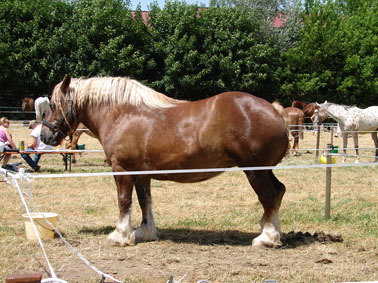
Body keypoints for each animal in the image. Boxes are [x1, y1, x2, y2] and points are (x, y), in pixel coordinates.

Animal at [40, 75, 290, 248]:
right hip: (265, 171)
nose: (45, 136)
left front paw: (120, 235)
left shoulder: (122, 170)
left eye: (52, 105)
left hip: (255, 171)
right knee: (278, 192)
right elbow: (145, 202)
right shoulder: (141, 174)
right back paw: (273, 232)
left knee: (268, 196)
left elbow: (124, 202)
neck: (123, 114)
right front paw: (145, 232)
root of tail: (275, 111)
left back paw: (266, 238)